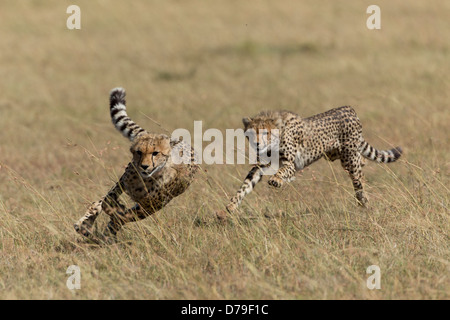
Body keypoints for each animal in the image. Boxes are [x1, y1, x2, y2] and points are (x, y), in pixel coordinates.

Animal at [74, 86, 199, 241]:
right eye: (139, 152)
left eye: (155, 153)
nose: (144, 166)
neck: (147, 179)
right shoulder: (123, 181)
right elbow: (107, 201)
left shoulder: (151, 205)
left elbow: (123, 216)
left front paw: (116, 217)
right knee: (99, 202)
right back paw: (86, 224)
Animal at [223, 106, 402, 214]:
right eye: (252, 133)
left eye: (266, 132)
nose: (257, 143)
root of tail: (349, 109)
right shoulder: (261, 165)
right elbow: (246, 184)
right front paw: (232, 204)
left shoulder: (291, 164)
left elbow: (283, 170)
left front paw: (276, 180)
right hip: (336, 155)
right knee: (361, 162)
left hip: (348, 158)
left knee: (359, 177)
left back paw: (363, 200)